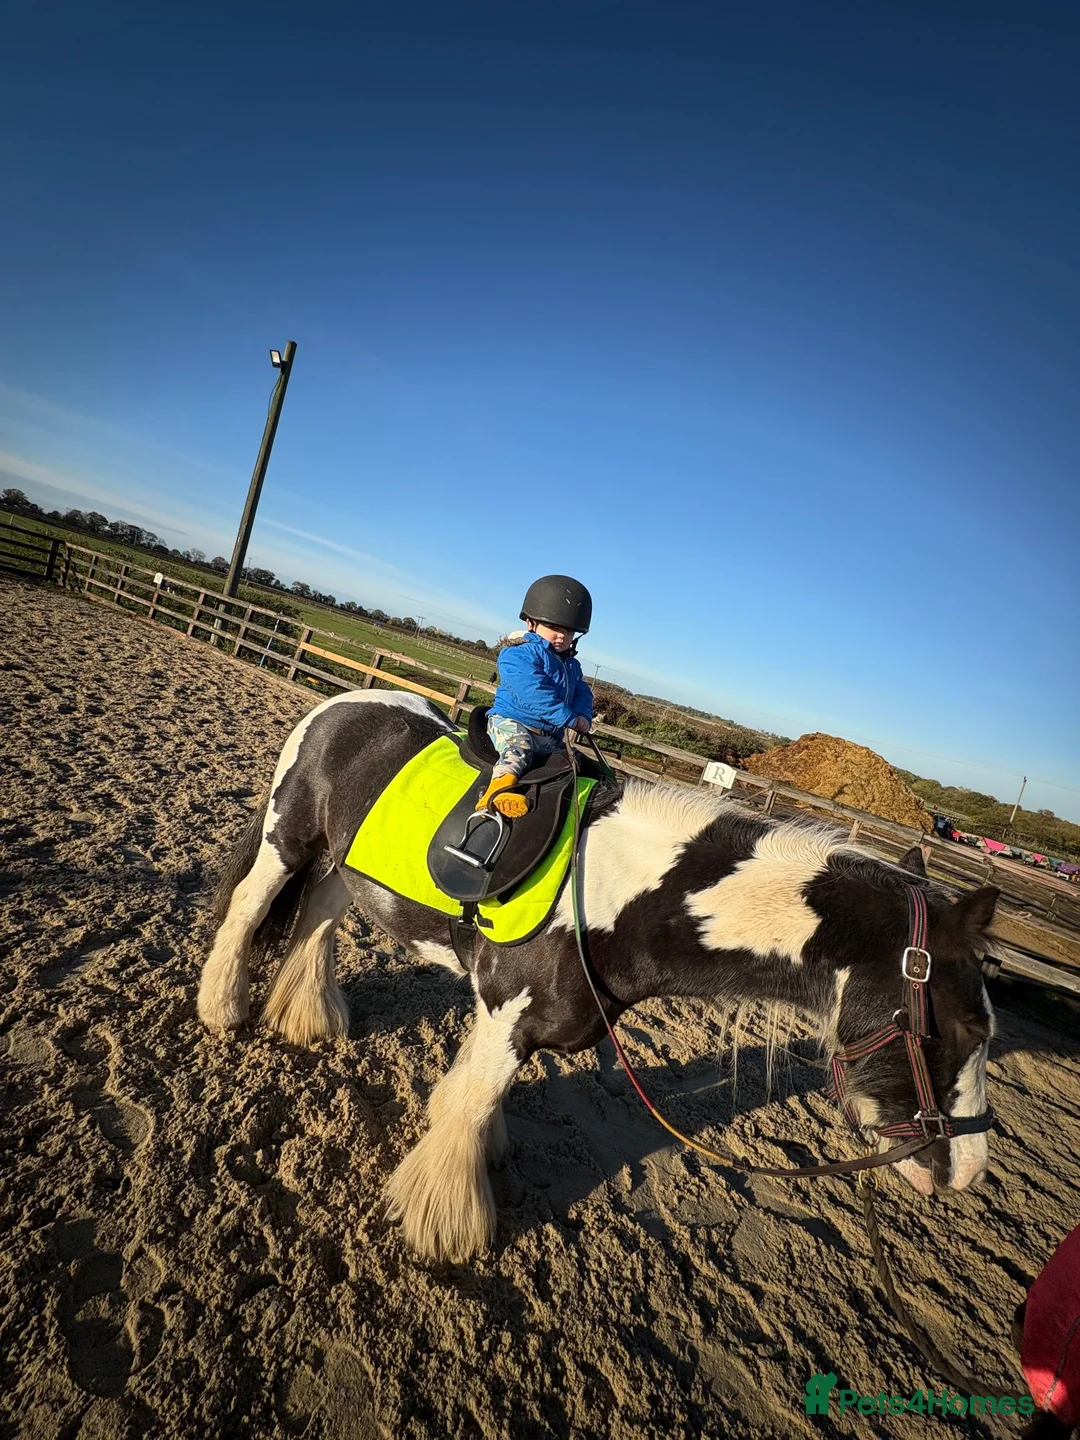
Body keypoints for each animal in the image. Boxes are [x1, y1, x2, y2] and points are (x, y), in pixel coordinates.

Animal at [196, 689, 999, 1264]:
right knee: (248, 912)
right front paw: (444, 1227)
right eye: (965, 1026)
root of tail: (339, 704)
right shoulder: (508, 1011)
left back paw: (306, 1017)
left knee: (317, 921)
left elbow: (474, 1097)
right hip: (286, 842)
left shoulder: (509, 1016)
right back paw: (221, 1008)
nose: (967, 1171)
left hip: (343, 868)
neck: (618, 894)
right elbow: (473, 1102)